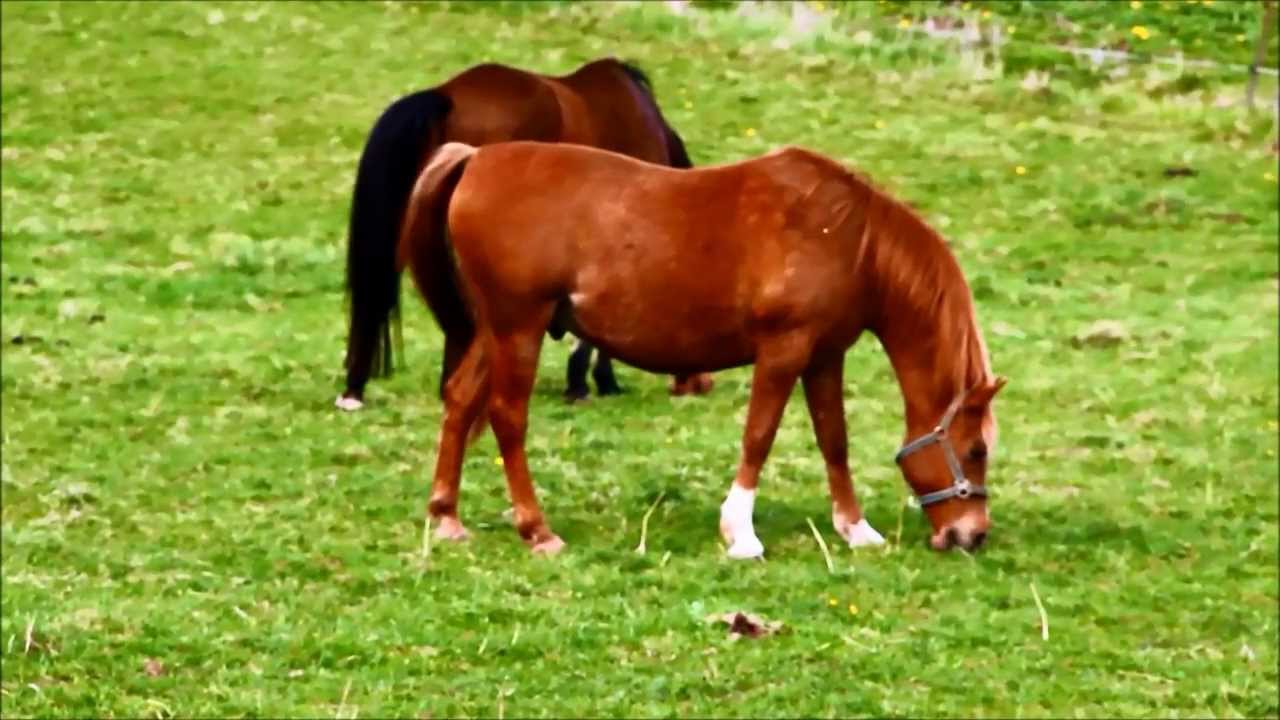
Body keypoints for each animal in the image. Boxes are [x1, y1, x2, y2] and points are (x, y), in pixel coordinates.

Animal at [398, 141, 1008, 557]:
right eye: (976, 449)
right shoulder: (784, 350)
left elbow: (834, 440)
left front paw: (855, 529)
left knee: (460, 401)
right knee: (507, 416)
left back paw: (447, 516)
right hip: (517, 328)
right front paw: (740, 534)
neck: (849, 238)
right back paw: (536, 529)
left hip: (494, 331)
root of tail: (477, 158)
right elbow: (759, 436)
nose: (972, 535)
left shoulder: (824, 356)